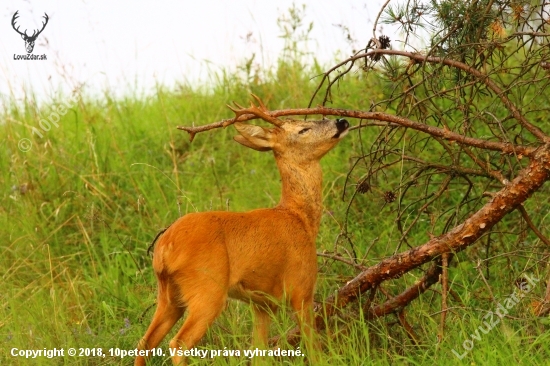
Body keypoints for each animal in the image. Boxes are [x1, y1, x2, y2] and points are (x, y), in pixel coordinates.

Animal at [136, 96, 350, 364]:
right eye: (303, 129)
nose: (341, 121)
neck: (299, 218)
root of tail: (165, 248)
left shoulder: (262, 303)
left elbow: (259, 351)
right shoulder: (302, 287)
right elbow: (314, 349)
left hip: (168, 295)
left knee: (145, 342)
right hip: (208, 290)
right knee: (178, 343)